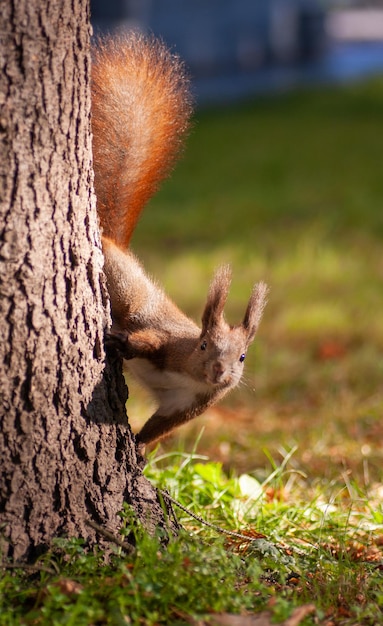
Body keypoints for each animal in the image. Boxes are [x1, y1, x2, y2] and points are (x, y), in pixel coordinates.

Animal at [91, 34, 268, 448]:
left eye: (242, 358)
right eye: (203, 345)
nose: (220, 371)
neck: (191, 373)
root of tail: (112, 239)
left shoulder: (189, 405)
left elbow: (160, 426)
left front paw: (139, 448)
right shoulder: (169, 344)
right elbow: (148, 341)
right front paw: (123, 344)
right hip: (123, 286)